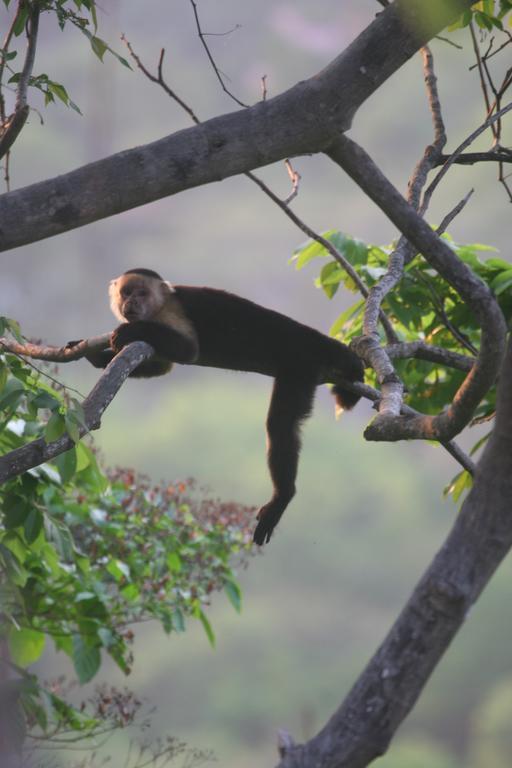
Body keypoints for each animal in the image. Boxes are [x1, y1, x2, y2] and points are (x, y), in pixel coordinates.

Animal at [77, 270, 364, 544]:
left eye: (142, 293)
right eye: (126, 292)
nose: (131, 302)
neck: (157, 307)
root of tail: (309, 337)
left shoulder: (170, 310)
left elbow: (188, 350)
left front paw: (128, 333)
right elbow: (164, 367)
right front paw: (97, 358)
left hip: (301, 363)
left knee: (280, 425)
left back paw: (282, 496)